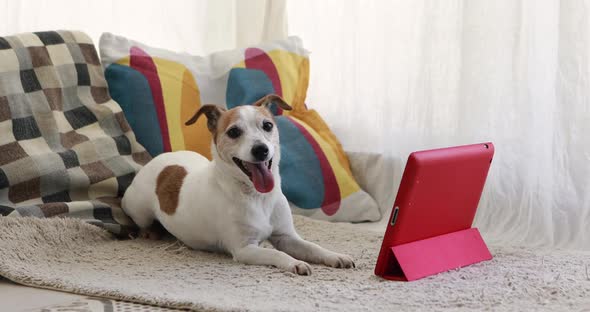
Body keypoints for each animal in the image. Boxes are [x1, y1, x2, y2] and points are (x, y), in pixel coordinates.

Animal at [122, 94, 354, 274]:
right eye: (234, 132)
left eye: (267, 125)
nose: (261, 149)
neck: (257, 196)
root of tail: (156, 161)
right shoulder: (245, 249)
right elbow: (276, 253)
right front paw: (295, 263)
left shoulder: (286, 237)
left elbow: (314, 247)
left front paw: (335, 256)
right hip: (140, 212)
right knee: (142, 223)